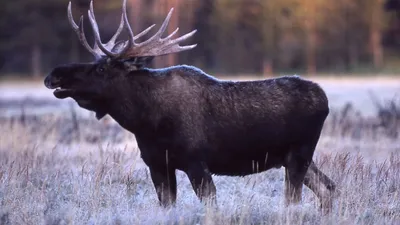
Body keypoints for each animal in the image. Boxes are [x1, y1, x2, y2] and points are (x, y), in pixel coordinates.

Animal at [43, 0, 336, 213]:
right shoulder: (158, 165)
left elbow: (211, 205)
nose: (54, 74)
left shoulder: (196, 162)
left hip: (299, 155)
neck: (145, 121)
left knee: (296, 199)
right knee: (329, 187)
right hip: (292, 159)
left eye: (102, 68)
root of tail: (325, 99)